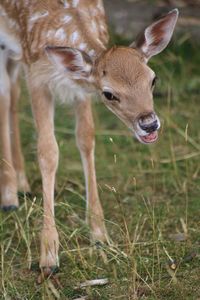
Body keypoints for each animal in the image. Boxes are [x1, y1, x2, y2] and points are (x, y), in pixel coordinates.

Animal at [0, 0, 178, 276]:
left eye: (153, 79)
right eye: (108, 94)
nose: (149, 124)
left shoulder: (79, 87)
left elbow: (86, 139)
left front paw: (99, 234)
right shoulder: (37, 73)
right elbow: (48, 151)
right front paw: (48, 256)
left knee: (13, 90)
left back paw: (22, 183)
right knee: (6, 92)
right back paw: (9, 195)